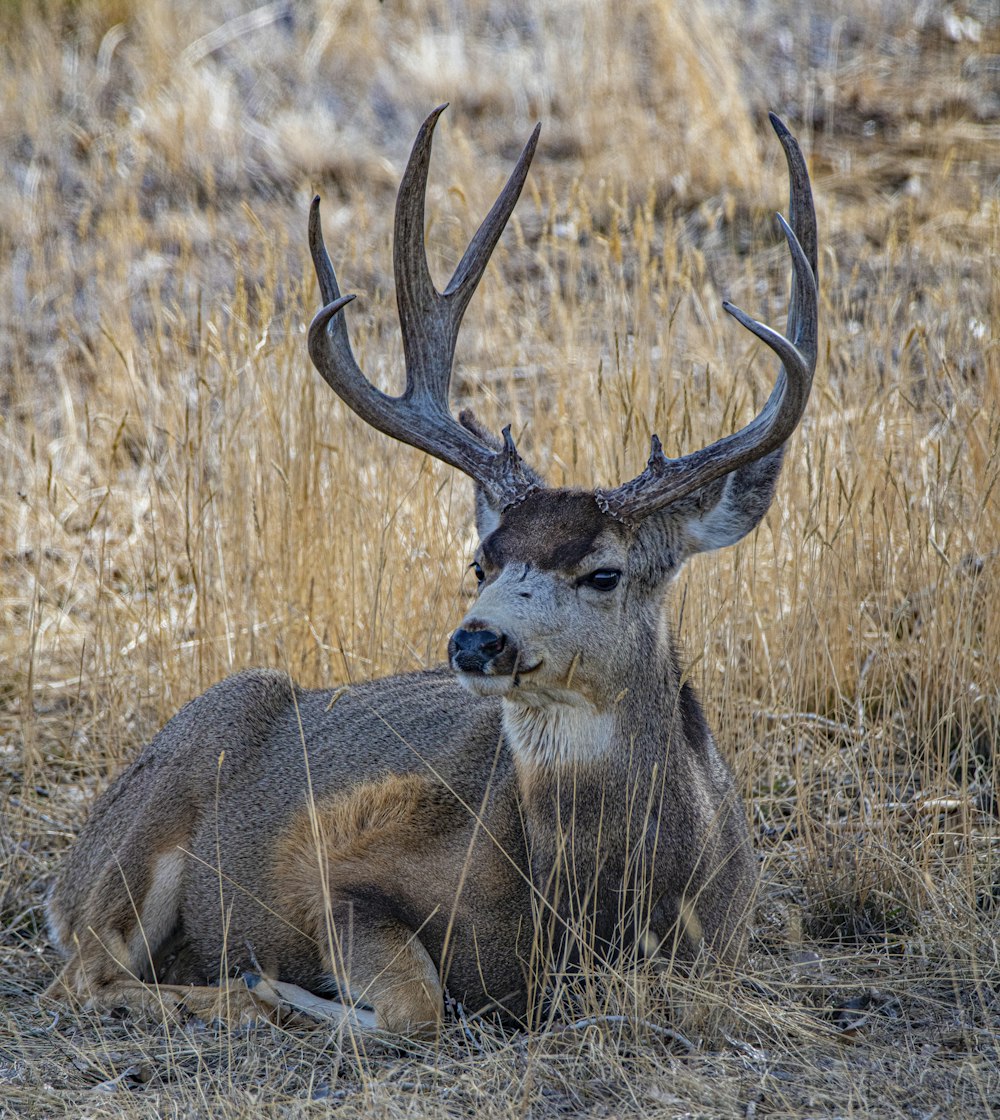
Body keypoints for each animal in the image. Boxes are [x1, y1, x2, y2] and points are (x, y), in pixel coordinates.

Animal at [42, 109, 815, 1034]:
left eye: (604, 572)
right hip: (161, 804)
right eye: (481, 561)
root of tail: (62, 880)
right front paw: (282, 988)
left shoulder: (724, 946)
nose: (477, 642)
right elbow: (418, 1004)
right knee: (82, 977)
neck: (591, 913)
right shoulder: (338, 870)